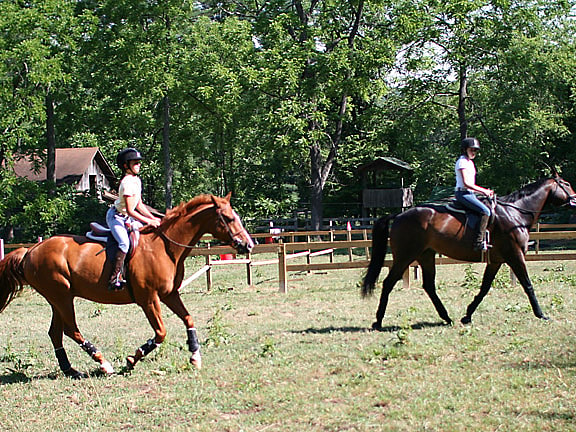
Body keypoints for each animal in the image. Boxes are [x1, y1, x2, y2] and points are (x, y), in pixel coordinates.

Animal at [0, 193, 254, 378]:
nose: (248, 245)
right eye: (228, 218)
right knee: (71, 330)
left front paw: (195, 356)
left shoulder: (170, 295)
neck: (164, 247)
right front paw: (133, 358)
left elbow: (188, 319)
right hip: (61, 297)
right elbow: (160, 333)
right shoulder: (148, 299)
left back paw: (71, 370)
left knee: (56, 333)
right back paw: (103, 363)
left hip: (58, 299)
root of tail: (30, 251)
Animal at [362, 174, 576, 330]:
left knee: (429, 286)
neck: (515, 214)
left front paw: (467, 315)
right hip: (405, 257)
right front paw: (541, 314)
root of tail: (399, 215)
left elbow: (484, 288)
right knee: (388, 283)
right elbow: (527, 285)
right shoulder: (515, 256)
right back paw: (378, 321)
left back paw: (446, 317)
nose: (575, 199)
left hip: (426, 255)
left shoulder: (496, 260)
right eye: (566, 184)